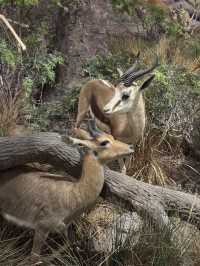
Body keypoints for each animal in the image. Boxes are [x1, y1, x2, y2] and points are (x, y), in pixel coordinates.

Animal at [0, 121, 133, 262]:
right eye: (104, 142)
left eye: (111, 136)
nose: (131, 147)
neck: (73, 193)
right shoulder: (42, 227)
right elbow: (34, 258)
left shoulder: (63, 228)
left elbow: (68, 243)